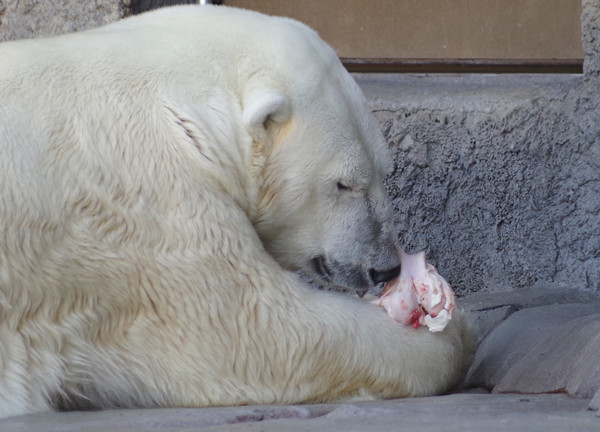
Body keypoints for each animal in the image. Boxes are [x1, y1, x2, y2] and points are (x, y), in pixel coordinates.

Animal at [0, 5, 474, 418]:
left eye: (385, 170)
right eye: (345, 183)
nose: (385, 267)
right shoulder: (147, 207)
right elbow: (266, 333)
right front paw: (455, 330)